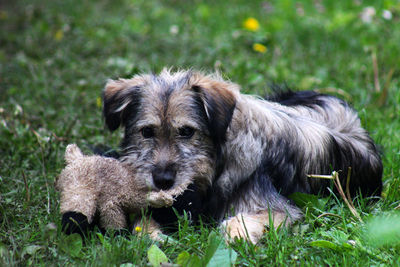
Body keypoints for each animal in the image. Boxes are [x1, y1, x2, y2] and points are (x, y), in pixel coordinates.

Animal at [102, 69, 382, 245]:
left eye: (187, 131)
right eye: (147, 132)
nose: (162, 180)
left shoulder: (279, 210)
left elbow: (237, 224)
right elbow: (142, 222)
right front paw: (152, 237)